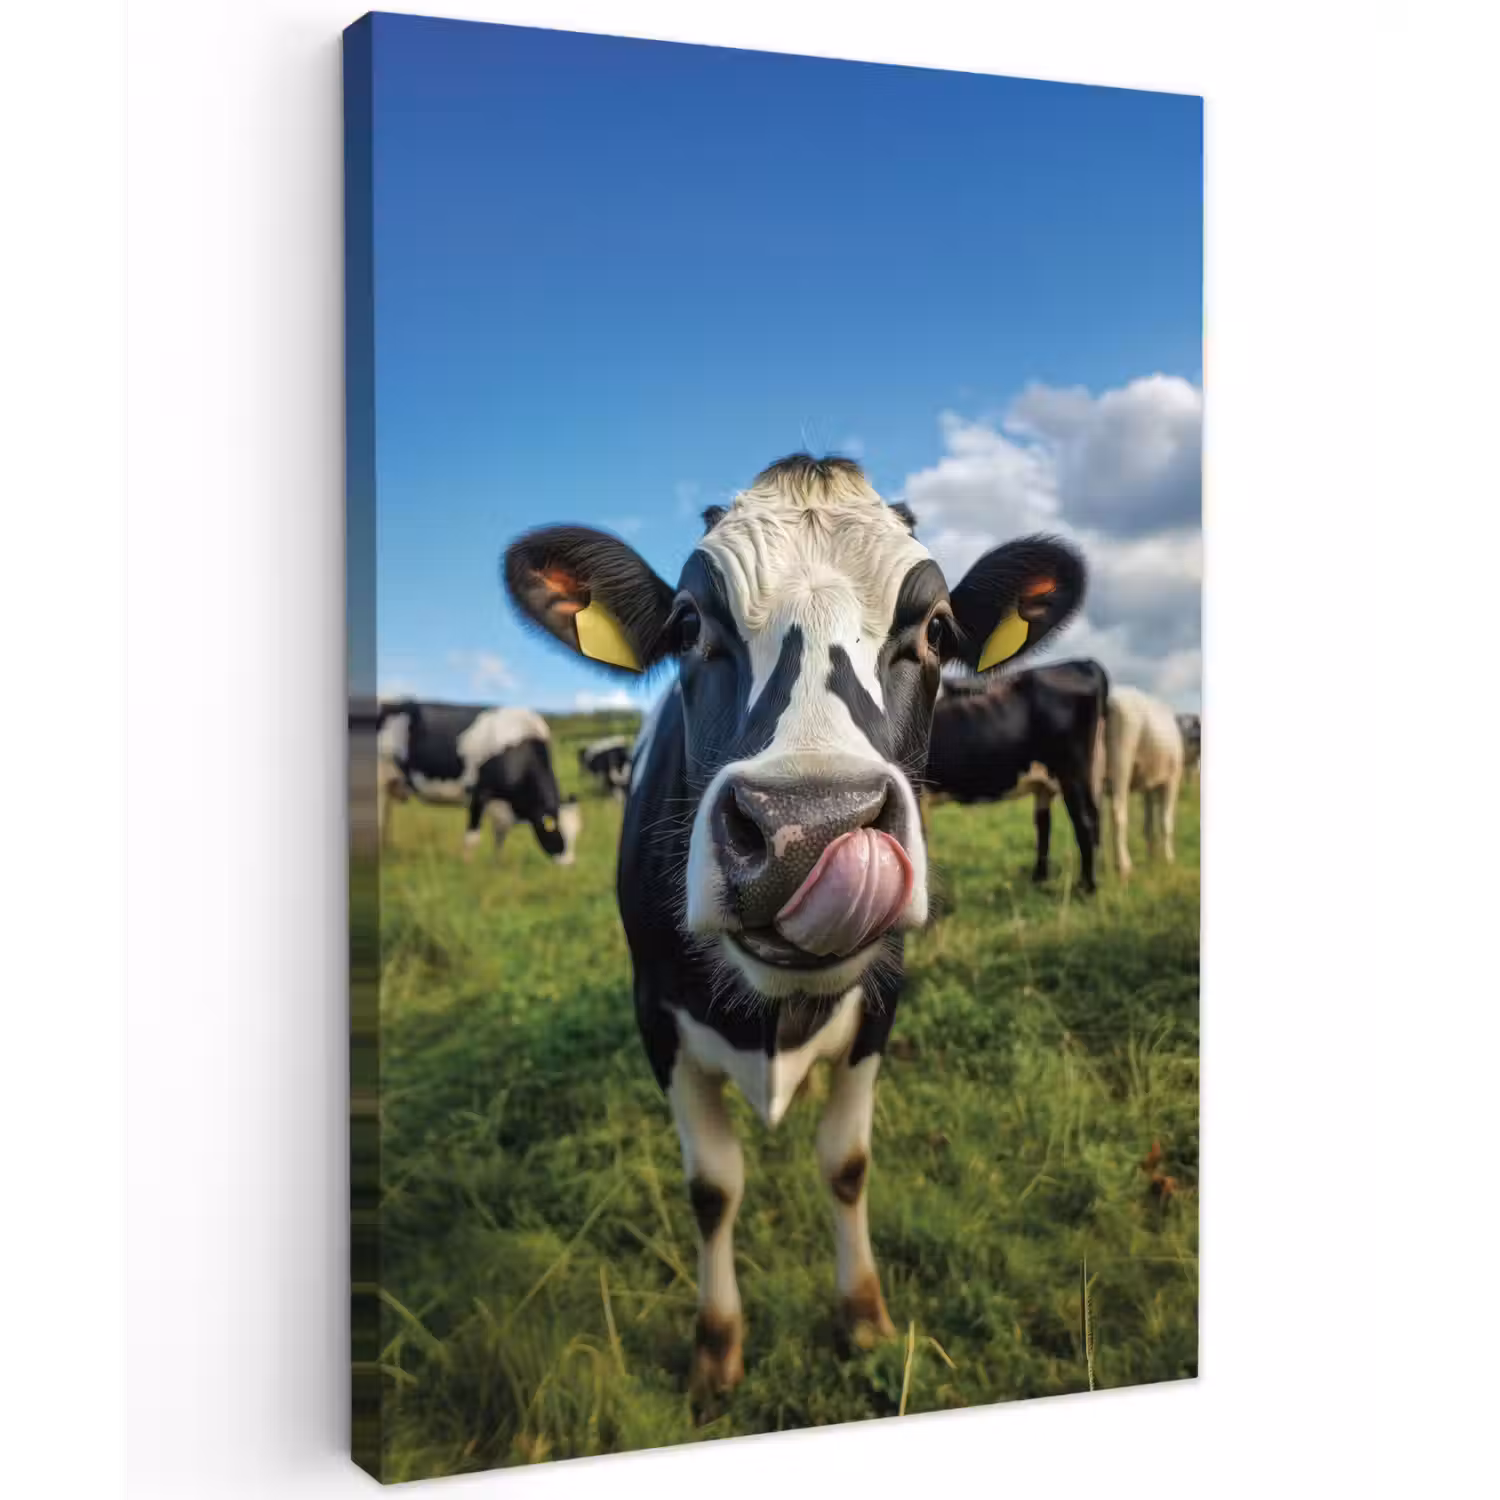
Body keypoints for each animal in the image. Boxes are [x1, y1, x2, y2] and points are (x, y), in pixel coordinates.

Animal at [376, 700, 581, 865]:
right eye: (558, 833)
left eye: (576, 833)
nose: (569, 865)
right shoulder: (479, 794)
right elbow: (473, 837)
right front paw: (467, 864)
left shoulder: (503, 805)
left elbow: (500, 836)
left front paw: (497, 864)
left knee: (386, 817)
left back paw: (387, 849)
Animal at [503, 453, 1085, 1408]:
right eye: (689, 625)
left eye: (936, 628)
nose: (808, 828)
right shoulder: (655, 1014)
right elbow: (713, 1187)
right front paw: (716, 1348)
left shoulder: (882, 1003)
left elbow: (845, 1165)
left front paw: (864, 1317)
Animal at [921, 660, 1108, 893]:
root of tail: (1083, 663)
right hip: (1070, 776)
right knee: (1054, 823)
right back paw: (1041, 880)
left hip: (1072, 772)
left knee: (1084, 822)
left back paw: (1085, 888)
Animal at [1103, 685, 1186, 878]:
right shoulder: (1173, 780)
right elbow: (1165, 821)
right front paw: (1168, 859)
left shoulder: (1148, 785)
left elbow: (1148, 824)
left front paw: (1152, 858)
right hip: (1122, 757)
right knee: (1118, 810)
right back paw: (1123, 866)